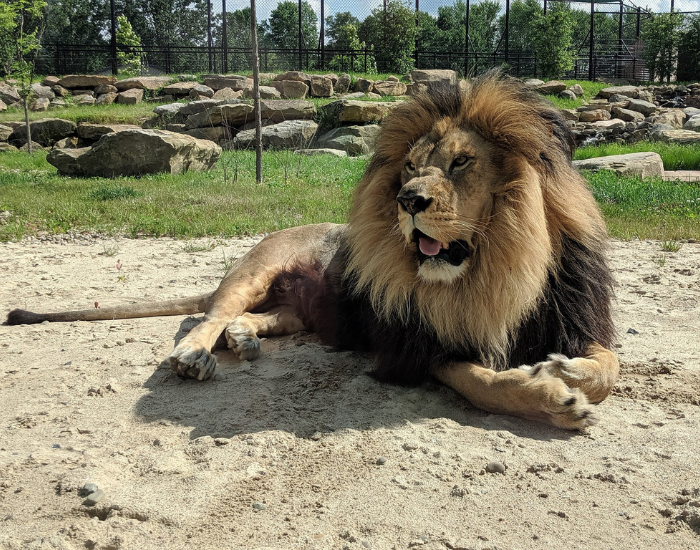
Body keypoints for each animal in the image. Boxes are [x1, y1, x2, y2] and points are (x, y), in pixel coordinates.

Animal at [6, 72, 618, 429]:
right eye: (410, 167)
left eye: (462, 162)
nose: (407, 200)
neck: (497, 269)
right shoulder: (413, 345)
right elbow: (482, 381)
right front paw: (553, 399)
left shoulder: (571, 313)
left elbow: (609, 365)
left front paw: (565, 367)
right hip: (253, 269)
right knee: (206, 317)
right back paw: (197, 355)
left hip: (296, 311)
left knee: (255, 319)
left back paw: (245, 340)